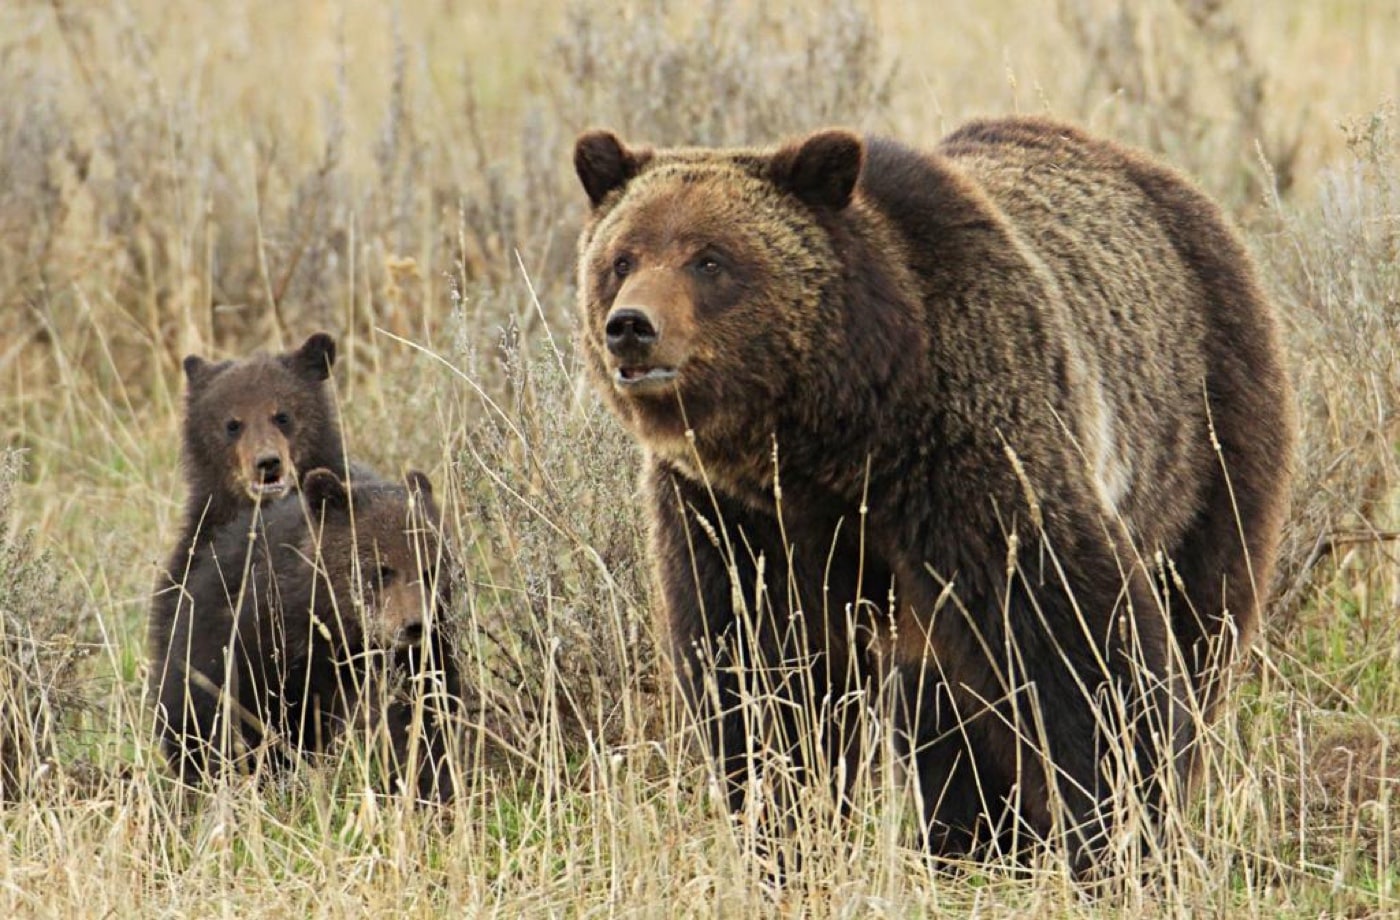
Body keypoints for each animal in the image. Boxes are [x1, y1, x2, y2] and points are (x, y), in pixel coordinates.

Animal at [151, 467, 464, 795]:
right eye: (381, 570)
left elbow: (424, 718)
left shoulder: (422, 661)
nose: (415, 625)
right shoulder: (263, 648)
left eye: (430, 569)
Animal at [574, 114, 1293, 862]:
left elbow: (1077, 639)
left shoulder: (968, 454)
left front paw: (1123, 829)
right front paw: (784, 828)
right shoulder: (733, 515)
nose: (631, 326)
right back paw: (969, 836)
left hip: (1203, 433)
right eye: (622, 258)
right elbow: (760, 671)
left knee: (1201, 615)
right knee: (945, 711)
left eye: (710, 259)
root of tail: (1152, 171)